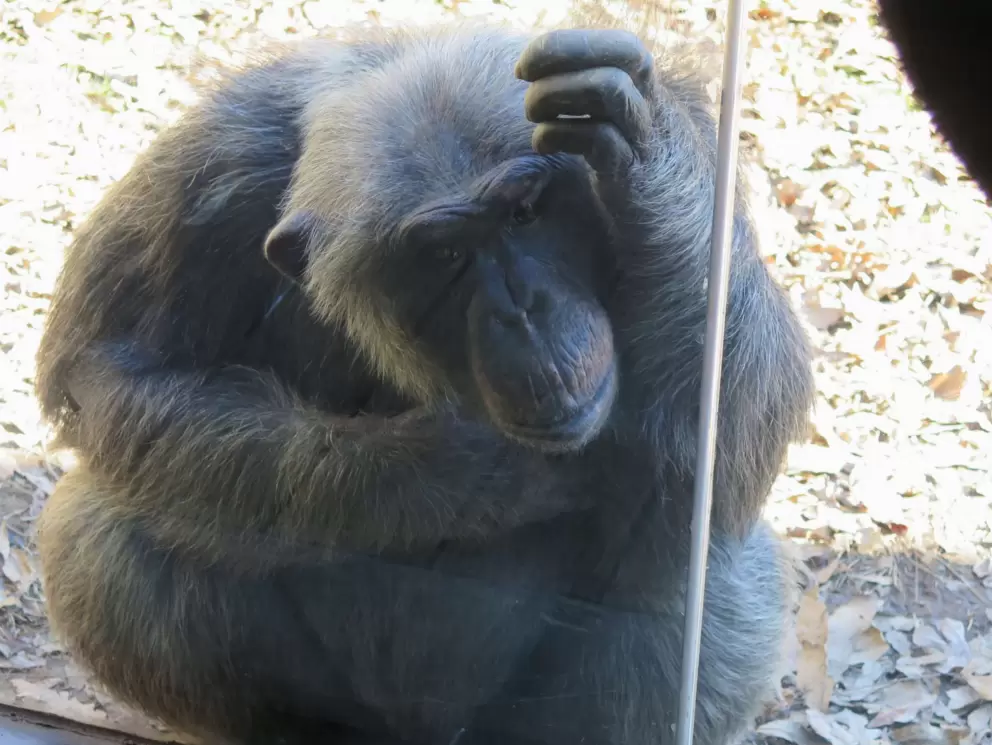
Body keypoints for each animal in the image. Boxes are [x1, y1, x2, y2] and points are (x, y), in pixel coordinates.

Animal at [33, 20, 814, 745]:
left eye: (526, 210)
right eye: (444, 254)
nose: (522, 311)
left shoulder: (703, 136)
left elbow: (733, 443)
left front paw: (641, 143)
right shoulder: (205, 173)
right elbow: (111, 371)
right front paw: (459, 471)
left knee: (700, 578)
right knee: (109, 531)